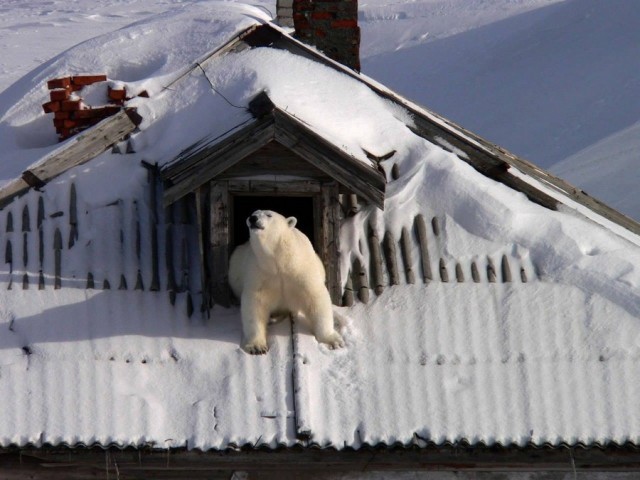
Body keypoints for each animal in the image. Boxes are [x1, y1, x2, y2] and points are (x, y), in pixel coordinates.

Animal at [228, 209, 345, 354]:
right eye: (253, 213)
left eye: (269, 215)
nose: (253, 218)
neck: (279, 260)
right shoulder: (259, 271)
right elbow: (255, 304)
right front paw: (257, 347)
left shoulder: (301, 268)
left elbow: (315, 296)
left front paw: (333, 340)